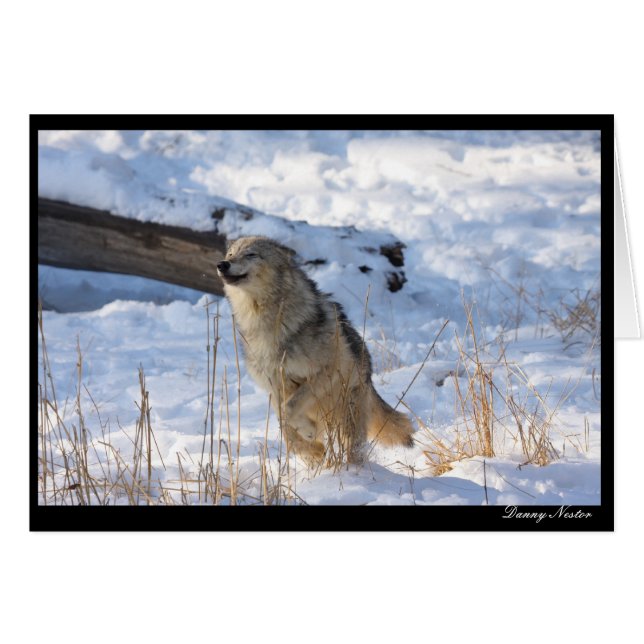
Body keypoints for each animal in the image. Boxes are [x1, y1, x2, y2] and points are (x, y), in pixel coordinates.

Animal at [217, 236, 414, 467]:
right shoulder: (275, 386)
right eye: (231, 254)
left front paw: (308, 435)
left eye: (251, 254)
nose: (222, 264)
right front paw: (311, 449)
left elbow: (288, 409)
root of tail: (369, 377)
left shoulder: (324, 372)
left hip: (348, 416)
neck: (269, 321)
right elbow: (283, 420)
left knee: (354, 449)